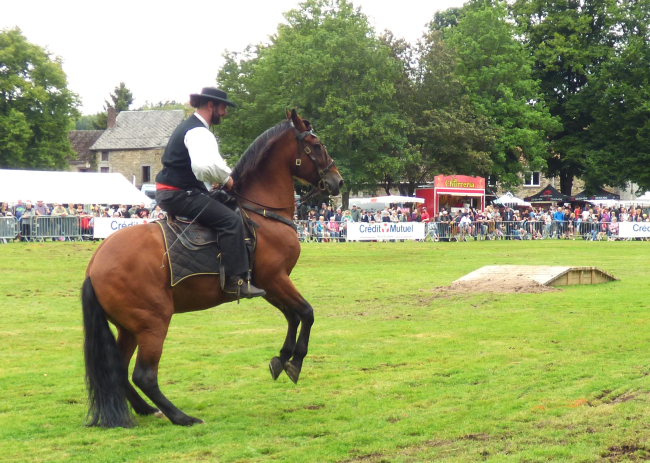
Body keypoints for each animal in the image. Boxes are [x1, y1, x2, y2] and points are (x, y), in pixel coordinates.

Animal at [83, 109, 342, 428]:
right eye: (315, 146)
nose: (337, 181)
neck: (262, 214)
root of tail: (95, 264)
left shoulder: (268, 285)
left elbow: (292, 315)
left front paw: (282, 358)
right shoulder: (276, 279)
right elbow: (306, 312)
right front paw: (295, 361)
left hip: (129, 328)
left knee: (118, 370)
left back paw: (146, 409)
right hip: (153, 322)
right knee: (143, 375)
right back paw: (181, 416)